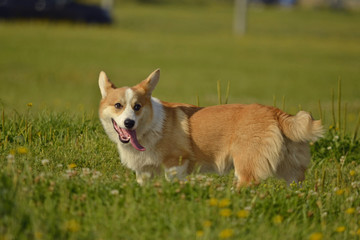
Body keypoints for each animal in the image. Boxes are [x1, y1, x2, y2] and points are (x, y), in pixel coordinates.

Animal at [98, 68, 324, 187]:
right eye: (118, 105)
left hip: (246, 166)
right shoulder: (144, 172)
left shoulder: (176, 164)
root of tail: (274, 111)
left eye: (137, 106)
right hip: (292, 172)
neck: (150, 128)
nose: (129, 123)